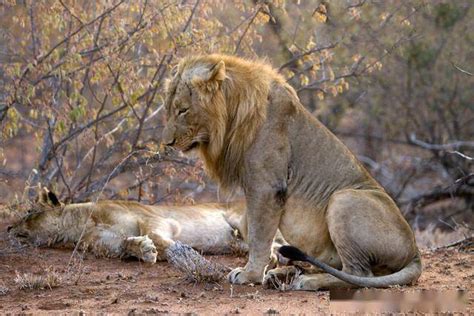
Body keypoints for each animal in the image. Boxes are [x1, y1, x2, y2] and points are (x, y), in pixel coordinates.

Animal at [161, 53, 420, 288]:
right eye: (169, 109)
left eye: (183, 110)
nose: (168, 142)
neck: (232, 115)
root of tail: (415, 252)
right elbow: (248, 225)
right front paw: (266, 267)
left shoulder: (266, 186)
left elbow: (258, 234)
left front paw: (250, 275)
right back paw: (283, 274)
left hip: (344, 198)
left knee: (359, 274)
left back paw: (307, 281)